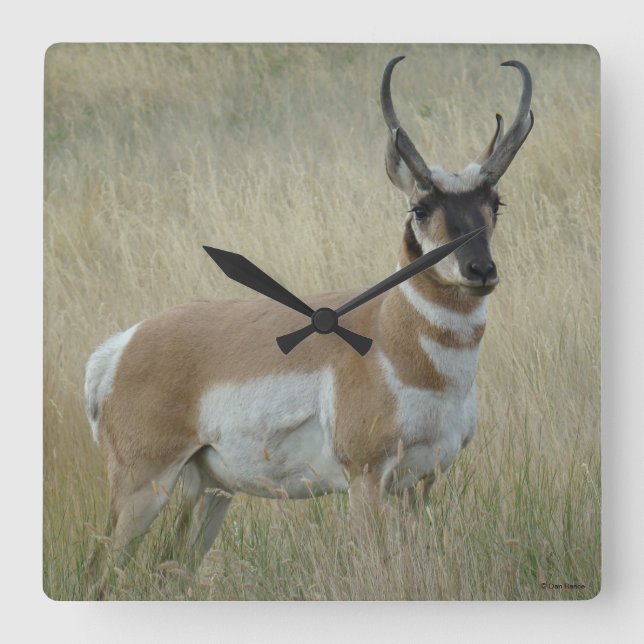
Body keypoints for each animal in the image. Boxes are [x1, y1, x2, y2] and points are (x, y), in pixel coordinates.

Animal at [85, 56, 533, 584]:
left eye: (495, 204)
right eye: (420, 208)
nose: (480, 270)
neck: (397, 342)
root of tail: (120, 347)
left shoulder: (420, 482)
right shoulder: (365, 479)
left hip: (210, 490)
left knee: (171, 567)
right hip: (142, 486)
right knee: (98, 571)